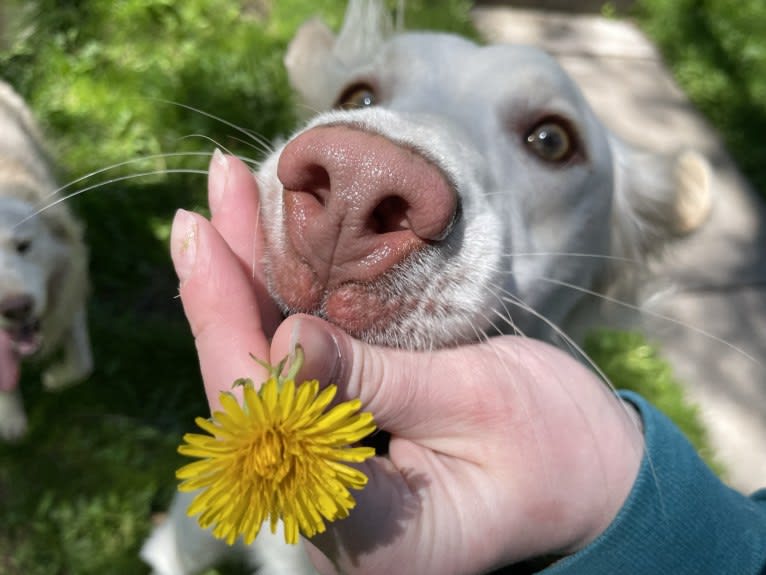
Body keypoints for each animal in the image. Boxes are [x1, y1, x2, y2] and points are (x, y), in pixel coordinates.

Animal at [0, 80, 93, 440]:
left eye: (24, 246)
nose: (16, 309)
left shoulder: (71, 283)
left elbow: (82, 363)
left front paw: (55, 378)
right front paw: (10, 418)